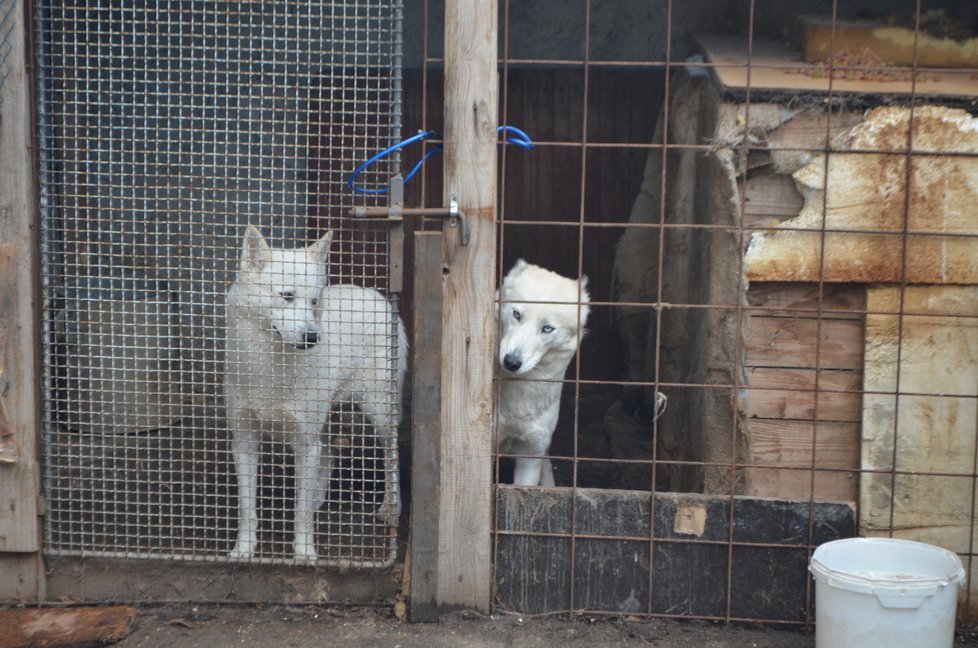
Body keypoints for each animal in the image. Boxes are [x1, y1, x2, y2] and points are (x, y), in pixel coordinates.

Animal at [224, 227, 404, 560]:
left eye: (313, 302)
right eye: (287, 296)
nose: (312, 337)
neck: (271, 367)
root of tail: (376, 296)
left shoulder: (305, 442)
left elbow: (300, 513)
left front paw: (304, 553)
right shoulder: (244, 439)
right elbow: (247, 508)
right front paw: (243, 549)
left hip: (380, 416)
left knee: (392, 457)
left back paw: (390, 507)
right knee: (329, 451)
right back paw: (319, 497)